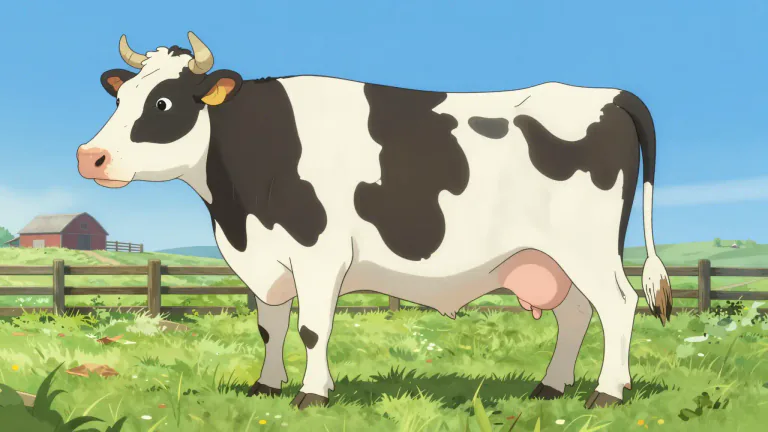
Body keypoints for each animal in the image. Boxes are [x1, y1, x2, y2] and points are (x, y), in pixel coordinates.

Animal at [76, 32, 673, 410]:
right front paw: (266, 387)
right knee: (575, 313)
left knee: (618, 306)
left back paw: (607, 393)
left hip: (587, 246)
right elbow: (270, 326)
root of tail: (609, 95)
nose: (90, 156)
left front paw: (312, 394)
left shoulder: (319, 255)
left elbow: (313, 328)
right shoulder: (267, 260)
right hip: (550, 256)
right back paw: (551, 388)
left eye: (163, 104)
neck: (238, 210)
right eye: (122, 96)